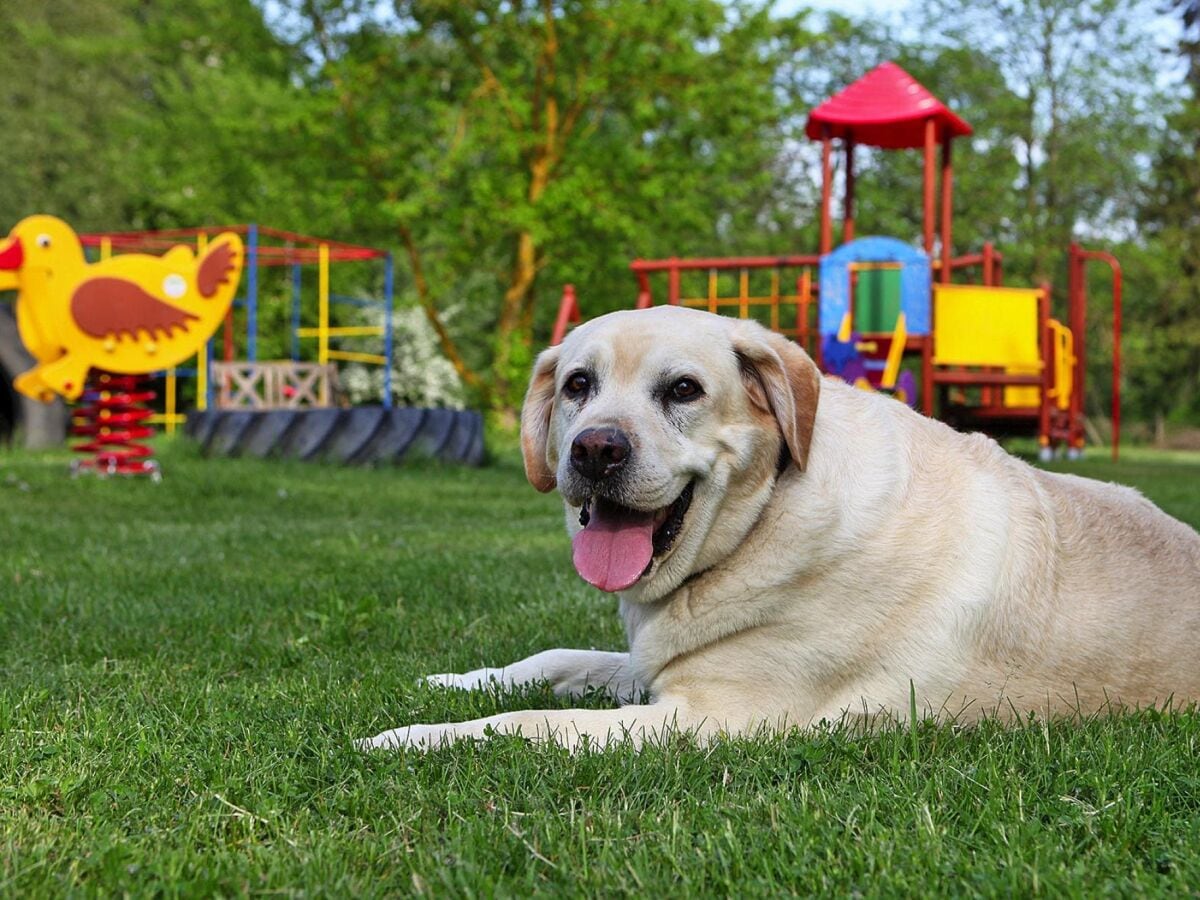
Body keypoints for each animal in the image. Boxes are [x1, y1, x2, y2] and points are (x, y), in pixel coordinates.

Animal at [360, 307, 1200, 748]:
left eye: (684, 390)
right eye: (577, 384)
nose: (594, 450)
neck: (760, 521)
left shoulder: (708, 716)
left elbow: (526, 724)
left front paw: (408, 739)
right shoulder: (657, 667)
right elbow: (555, 660)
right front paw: (450, 682)